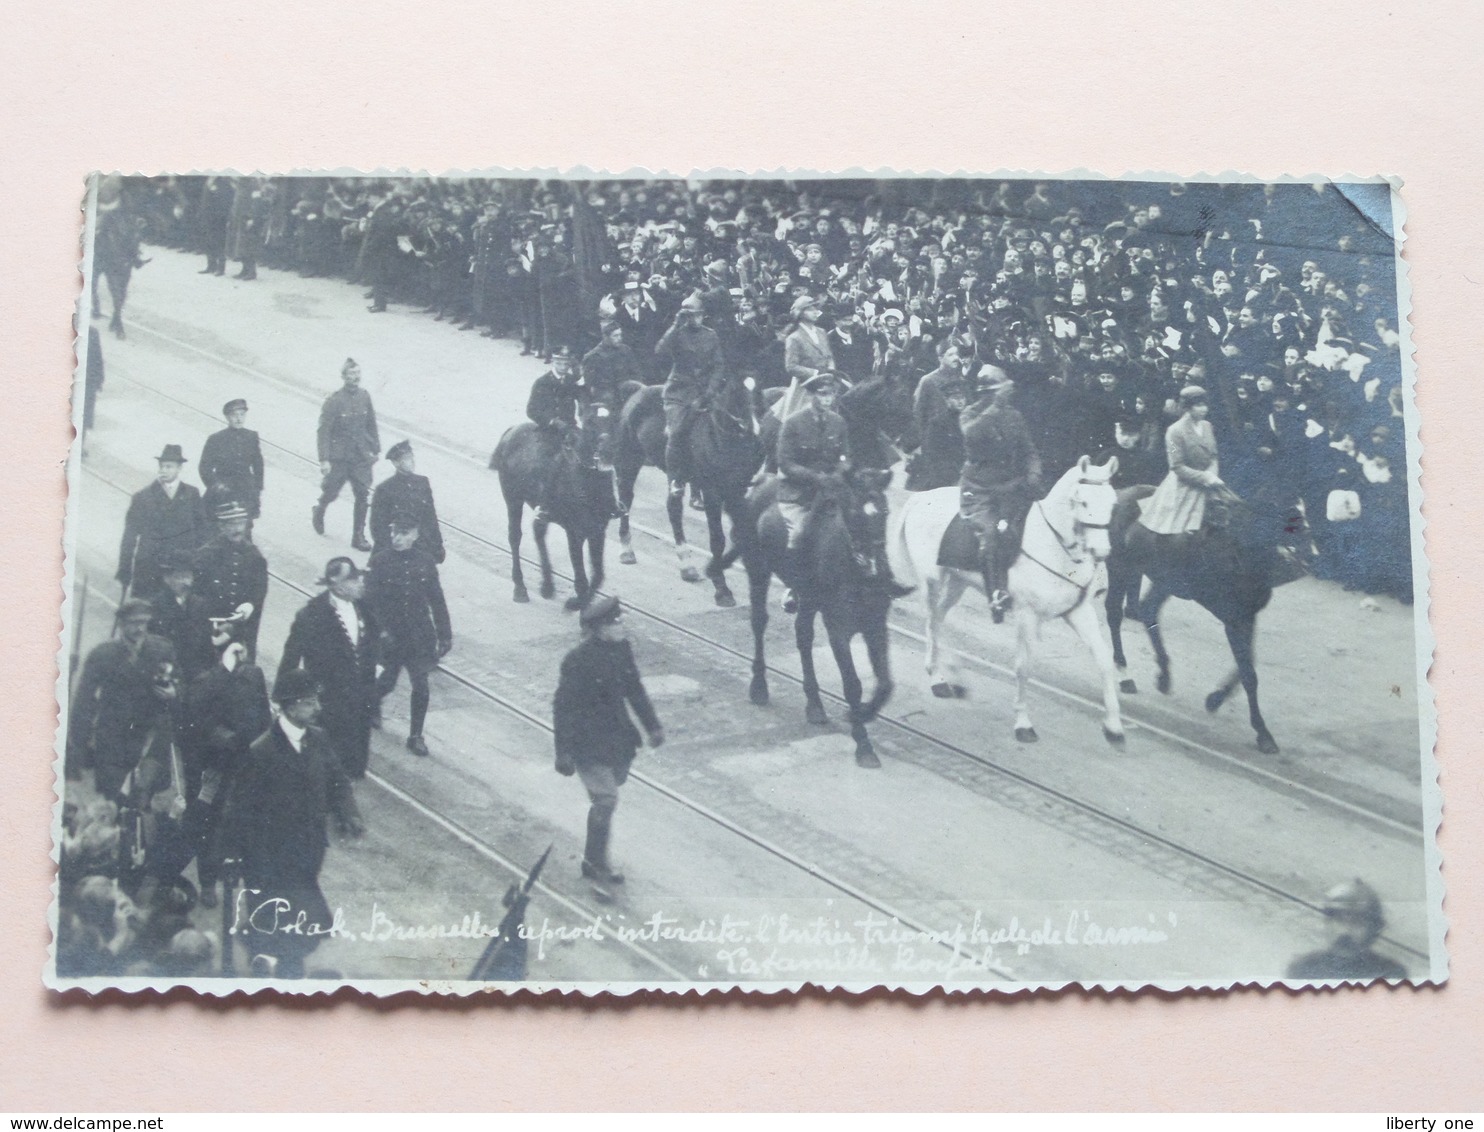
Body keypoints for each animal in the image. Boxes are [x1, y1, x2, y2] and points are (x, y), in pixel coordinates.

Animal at [492, 397, 620, 611]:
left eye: (614, 421)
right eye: (590, 423)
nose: (608, 451)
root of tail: (511, 431)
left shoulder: (597, 531)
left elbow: (598, 575)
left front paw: (581, 603)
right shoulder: (575, 532)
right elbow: (582, 576)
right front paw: (578, 603)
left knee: (538, 531)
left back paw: (547, 585)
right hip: (513, 498)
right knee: (515, 536)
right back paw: (520, 588)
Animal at [611, 379, 759, 605]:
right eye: (731, 390)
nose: (749, 429)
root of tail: (639, 389)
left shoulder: (738, 490)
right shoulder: (712, 491)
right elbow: (717, 539)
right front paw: (722, 588)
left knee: (673, 509)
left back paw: (686, 566)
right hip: (628, 461)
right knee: (626, 499)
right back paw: (627, 551)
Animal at [712, 468, 896, 771]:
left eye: (884, 511)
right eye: (853, 512)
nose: (873, 565)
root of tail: (763, 481)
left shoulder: (876, 626)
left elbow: (885, 683)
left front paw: (865, 713)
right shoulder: (838, 629)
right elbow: (852, 684)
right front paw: (863, 744)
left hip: (809, 597)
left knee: (803, 635)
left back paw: (814, 704)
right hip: (758, 570)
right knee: (759, 622)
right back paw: (759, 687)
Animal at [890, 456, 1121, 747]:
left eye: (1112, 503)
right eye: (1083, 502)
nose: (1101, 551)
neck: (1055, 547)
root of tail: (921, 498)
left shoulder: (1079, 612)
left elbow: (1104, 660)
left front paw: (1113, 726)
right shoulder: (1026, 614)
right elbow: (1023, 666)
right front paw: (1023, 723)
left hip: (958, 582)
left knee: (939, 619)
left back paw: (952, 673)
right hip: (932, 580)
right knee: (932, 620)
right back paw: (938, 677)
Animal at [1110, 486, 1305, 753]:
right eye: (1287, 517)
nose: (1299, 562)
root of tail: (1120, 493)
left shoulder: (1247, 617)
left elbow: (1248, 665)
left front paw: (1215, 699)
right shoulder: (1233, 620)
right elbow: (1249, 674)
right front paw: (1263, 733)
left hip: (1163, 580)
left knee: (1148, 611)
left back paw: (1164, 676)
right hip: (1120, 567)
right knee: (1114, 615)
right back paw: (1124, 674)